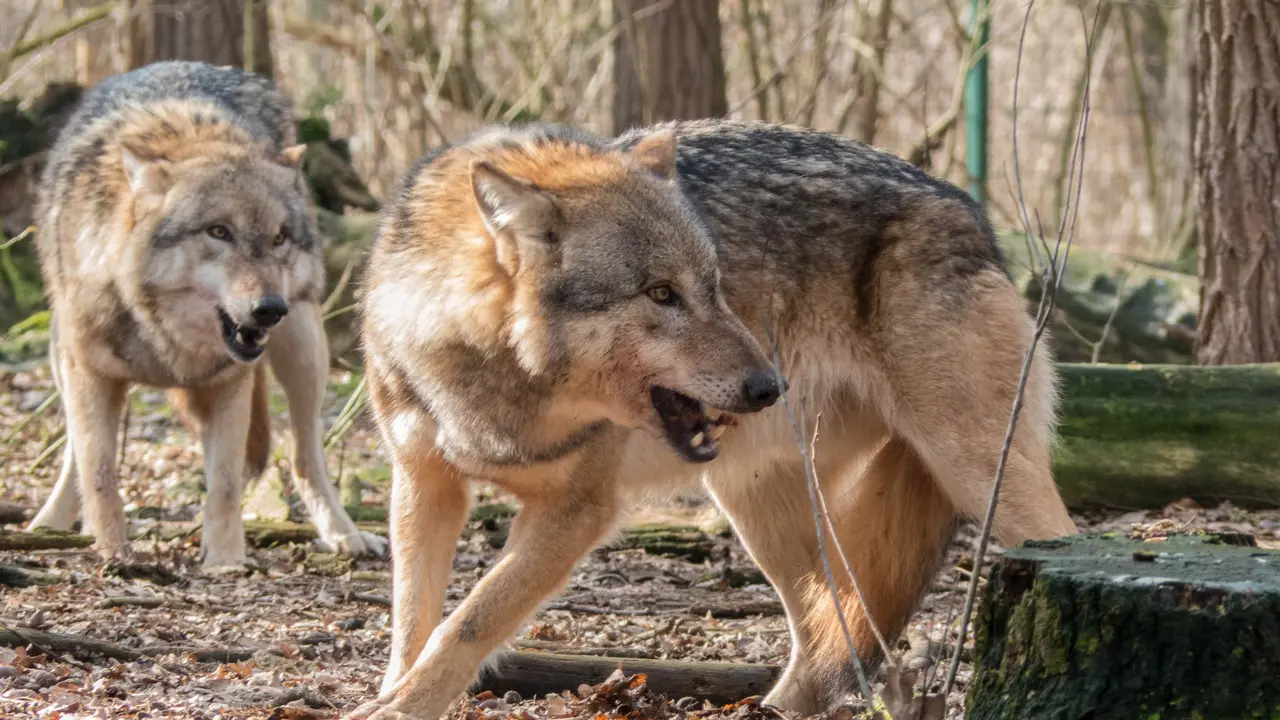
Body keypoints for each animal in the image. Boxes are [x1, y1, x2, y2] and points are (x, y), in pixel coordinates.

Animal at [26, 60, 384, 566]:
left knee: (305, 456)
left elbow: (227, 485)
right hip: (61, 357)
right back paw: (50, 524)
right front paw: (115, 553)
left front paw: (225, 563)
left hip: (305, 349)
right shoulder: (90, 375)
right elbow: (98, 473)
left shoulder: (229, 384)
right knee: (74, 454)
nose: (269, 309)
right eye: (219, 232)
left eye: (278, 238)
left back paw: (343, 533)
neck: (163, 337)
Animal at [345, 119, 1075, 717]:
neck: (495, 385)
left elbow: (466, 622)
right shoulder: (423, 484)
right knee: (829, 626)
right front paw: (394, 692)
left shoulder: (578, 510)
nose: (770, 385)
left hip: (981, 476)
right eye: (661, 294)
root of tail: (968, 210)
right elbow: (412, 622)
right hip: (756, 503)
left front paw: (399, 708)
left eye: (715, 286)